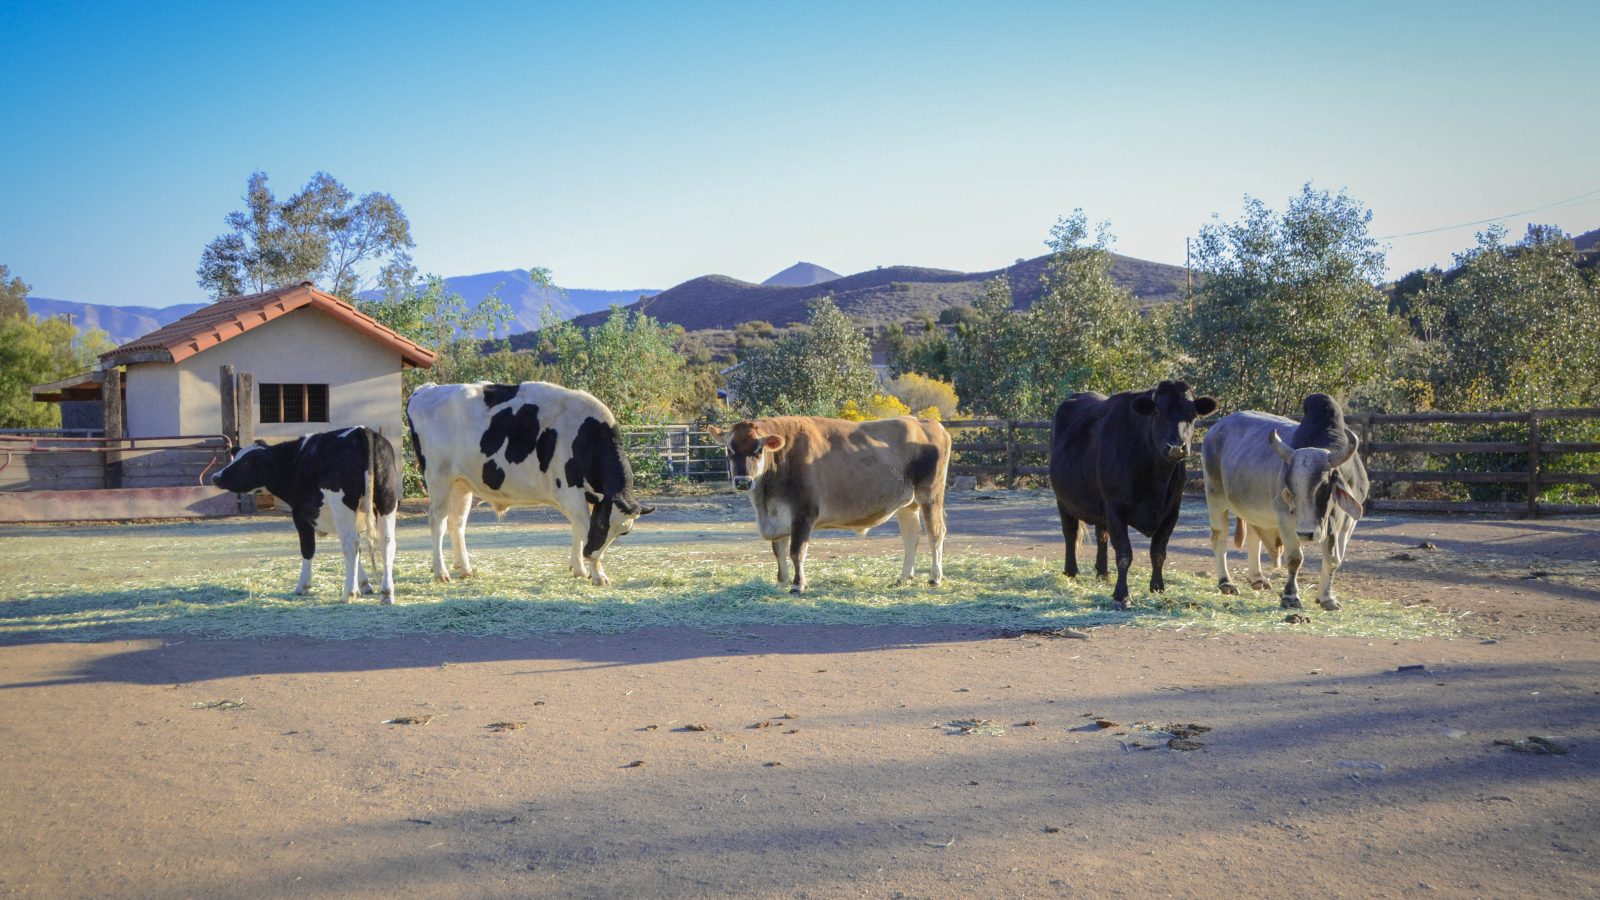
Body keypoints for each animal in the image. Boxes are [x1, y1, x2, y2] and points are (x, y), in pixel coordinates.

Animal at [209, 422, 400, 602]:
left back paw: (348, 594)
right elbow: (359, 552)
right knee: (386, 542)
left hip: (342, 504)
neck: (295, 460)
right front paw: (364, 584)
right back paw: (386, 593)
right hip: (387, 500)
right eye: (236, 457)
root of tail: (362, 431)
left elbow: (307, 548)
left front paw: (304, 586)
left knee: (350, 544)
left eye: (246, 462)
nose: (215, 477)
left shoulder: (300, 515)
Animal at [406, 376, 656, 582]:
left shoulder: (592, 498)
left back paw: (465, 569)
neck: (587, 436)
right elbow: (583, 529)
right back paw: (441, 572)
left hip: (461, 483)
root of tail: (426, 389)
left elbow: (578, 530)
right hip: (439, 478)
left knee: (456, 522)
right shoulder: (571, 493)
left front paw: (580, 568)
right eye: (604, 524)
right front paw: (596, 574)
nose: (589, 554)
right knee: (437, 521)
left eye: (623, 532)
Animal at [704, 413, 947, 589]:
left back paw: (935, 577)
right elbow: (779, 551)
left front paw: (798, 585)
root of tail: (925, 421)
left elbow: (797, 552)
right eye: (730, 449)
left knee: (935, 533)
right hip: (907, 504)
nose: (742, 481)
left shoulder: (803, 514)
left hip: (930, 496)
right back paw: (904, 578)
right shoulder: (778, 517)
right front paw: (782, 582)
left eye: (758, 449)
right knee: (911, 537)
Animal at [1056, 379, 1216, 608]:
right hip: (1063, 500)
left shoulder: (1171, 512)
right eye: (1157, 411)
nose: (1176, 447)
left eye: (1192, 414)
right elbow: (1124, 554)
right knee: (1070, 533)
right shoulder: (1115, 509)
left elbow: (1158, 552)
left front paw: (1157, 587)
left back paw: (1103, 573)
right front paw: (1121, 595)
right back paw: (1071, 572)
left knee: (1101, 535)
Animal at [1203, 393, 1369, 608]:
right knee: (1219, 538)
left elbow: (1333, 560)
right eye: (1290, 488)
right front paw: (1290, 596)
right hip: (1216, 497)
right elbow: (1294, 558)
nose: (1306, 533)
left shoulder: (1348, 523)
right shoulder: (1286, 518)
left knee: (1253, 538)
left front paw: (1328, 598)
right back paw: (1226, 583)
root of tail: (1215, 428)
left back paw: (1257, 578)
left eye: (1324, 485)